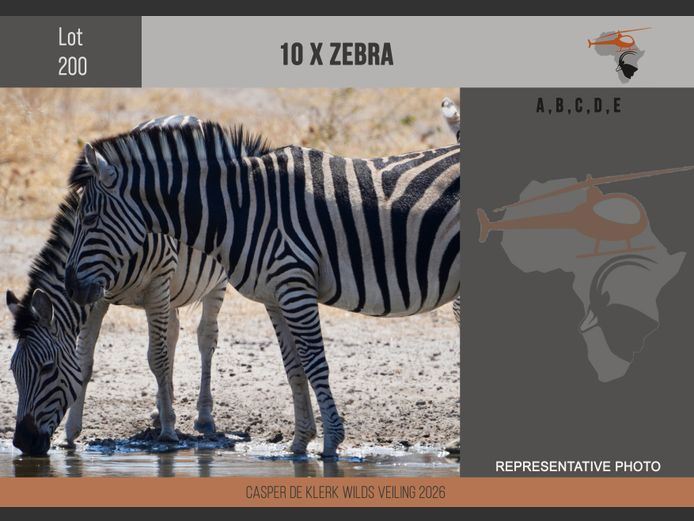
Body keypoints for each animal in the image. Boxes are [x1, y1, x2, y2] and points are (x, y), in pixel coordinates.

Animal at [8, 116, 228, 455]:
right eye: (14, 371)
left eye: (47, 368)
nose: (23, 443)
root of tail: (192, 119)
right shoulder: (95, 297)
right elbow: (85, 361)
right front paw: (70, 434)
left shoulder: (157, 283)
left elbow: (157, 358)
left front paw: (168, 432)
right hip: (171, 292)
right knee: (173, 335)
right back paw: (160, 409)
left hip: (214, 282)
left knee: (205, 338)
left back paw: (203, 418)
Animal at [64, 122, 460, 457]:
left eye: (89, 219)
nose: (70, 286)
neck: (243, 208)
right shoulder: (277, 295)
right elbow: (294, 367)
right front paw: (300, 443)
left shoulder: (294, 284)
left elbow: (316, 363)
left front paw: (331, 442)